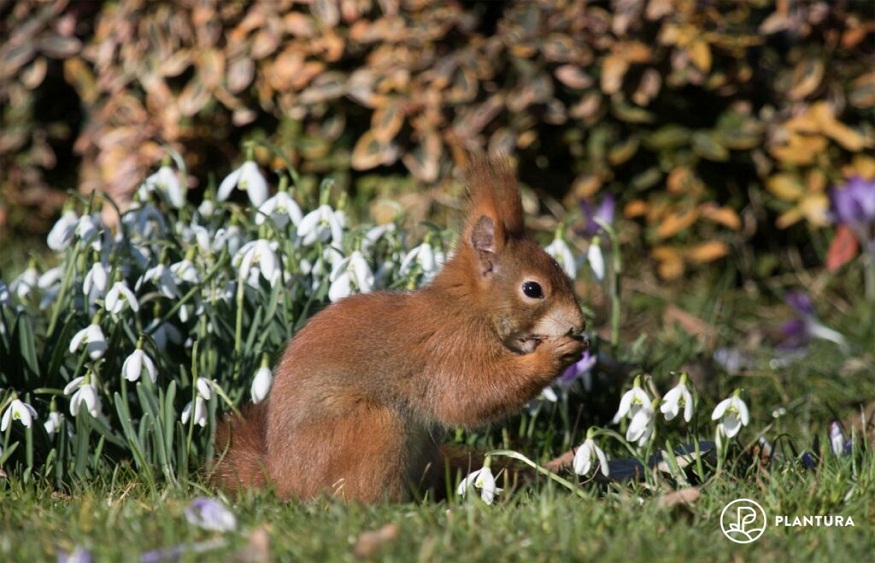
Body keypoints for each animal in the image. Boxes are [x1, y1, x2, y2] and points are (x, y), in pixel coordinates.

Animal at [210, 158, 588, 502]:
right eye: (532, 289)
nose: (580, 324)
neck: (468, 307)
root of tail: (281, 480)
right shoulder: (449, 347)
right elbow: (470, 395)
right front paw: (553, 354)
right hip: (374, 429)